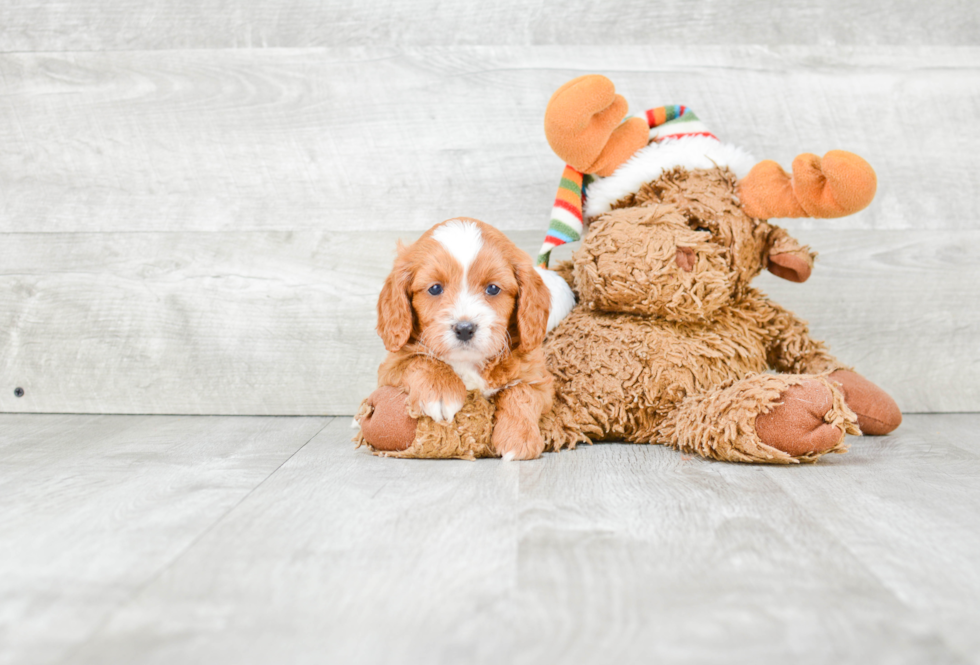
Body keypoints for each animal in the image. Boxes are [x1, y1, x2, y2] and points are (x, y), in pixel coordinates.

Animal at [376, 217, 576, 456]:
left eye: (493, 289)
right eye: (435, 288)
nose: (464, 328)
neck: (468, 361)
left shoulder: (539, 379)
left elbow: (521, 390)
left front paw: (519, 437)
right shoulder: (388, 370)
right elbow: (418, 359)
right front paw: (441, 391)